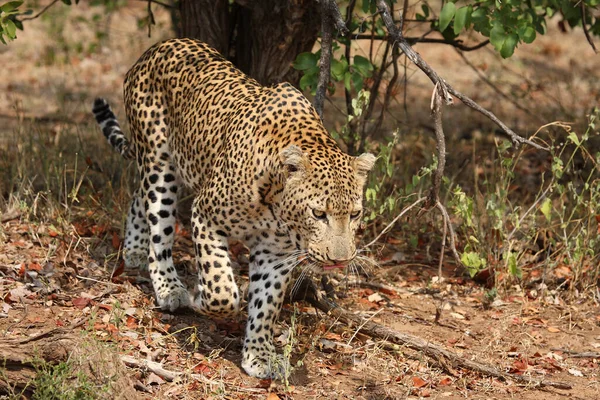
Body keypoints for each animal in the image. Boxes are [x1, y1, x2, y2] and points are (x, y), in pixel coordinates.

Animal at [92, 38, 376, 378]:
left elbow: (266, 304)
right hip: (159, 163)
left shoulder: (275, 254)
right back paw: (170, 288)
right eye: (318, 214)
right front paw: (201, 298)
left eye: (355, 214)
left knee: (139, 197)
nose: (340, 260)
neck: (276, 208)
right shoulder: (205, 213)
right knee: (159, 228)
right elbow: (221, 289)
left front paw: (259, 356)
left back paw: (134, 249)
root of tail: (156, 48)